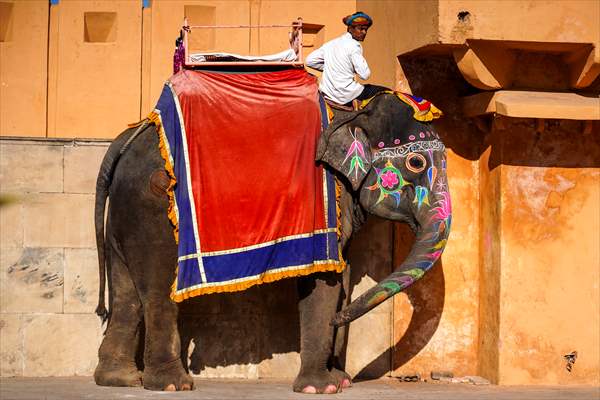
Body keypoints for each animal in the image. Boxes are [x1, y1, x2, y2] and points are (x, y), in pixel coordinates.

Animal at [94, 70, 450, 392]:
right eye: (416, 163)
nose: (339, 320)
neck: (353, 111)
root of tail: (131, 135)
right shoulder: (322, 198)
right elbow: (326, 280)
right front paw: (321, 388)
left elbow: (345, 275)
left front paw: (339, 380)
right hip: (152, 206)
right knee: (158, 286)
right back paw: (171, 385)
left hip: (125, 211)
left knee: (127, 291)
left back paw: (119, 380)